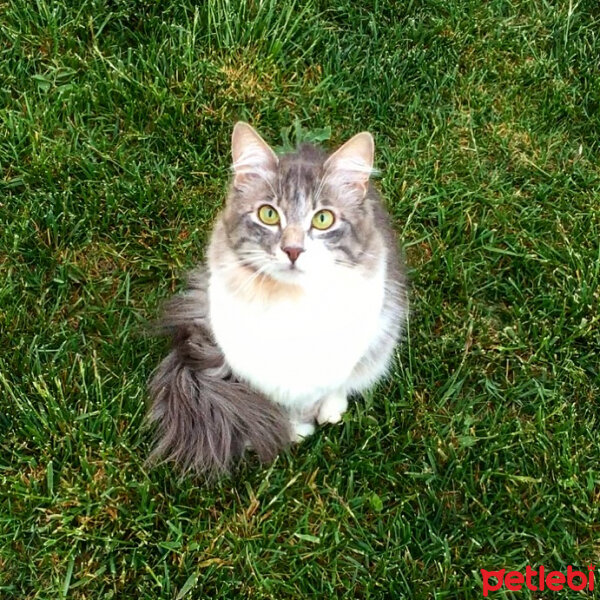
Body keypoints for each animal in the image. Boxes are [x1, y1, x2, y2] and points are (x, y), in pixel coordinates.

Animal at [147, 122, 406, 478]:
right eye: (268, 215)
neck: (291, 308)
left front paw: (313, 418)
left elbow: (324, 388)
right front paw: (295, 428)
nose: (293, 250)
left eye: (323, 219)